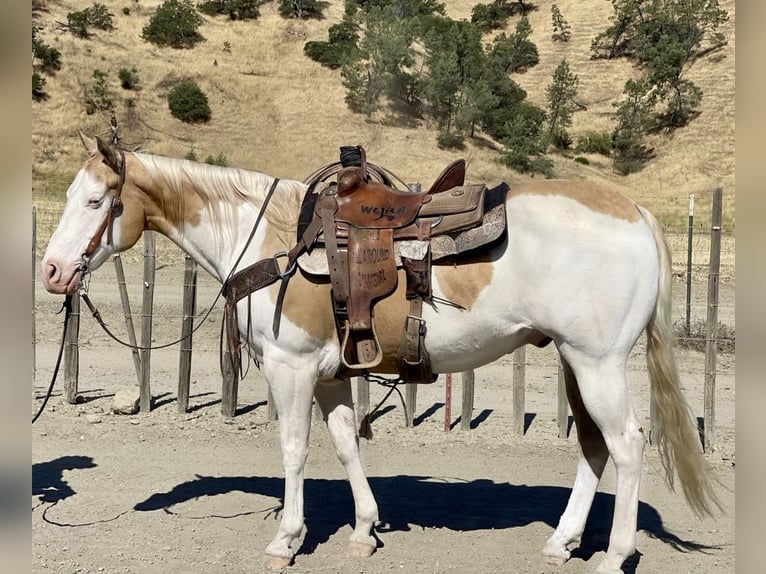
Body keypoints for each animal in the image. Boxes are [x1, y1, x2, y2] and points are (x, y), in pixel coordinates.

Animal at [40, 134, 720, 572]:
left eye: (96, 202)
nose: (51, 271)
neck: (268, 237)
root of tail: (636, 213)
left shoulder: (290, 367)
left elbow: (294, 449)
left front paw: (287, 539)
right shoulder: (331, 372)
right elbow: (345, 443)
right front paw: (365, 531)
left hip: (597, 362)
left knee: (627, 444)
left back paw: (614, 556)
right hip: (574, 361)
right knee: (595, 447)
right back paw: (562, 543)